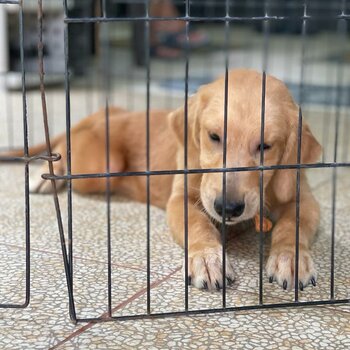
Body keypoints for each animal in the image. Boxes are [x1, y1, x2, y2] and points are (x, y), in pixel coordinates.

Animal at [2, 69, 322, 292]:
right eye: (214, 137)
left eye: (265, 146)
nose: (228, 208)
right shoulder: (181, 199)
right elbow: (199, 224)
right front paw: (208, 259)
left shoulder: (303, 197)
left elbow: (292, 225)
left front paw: (290, 257)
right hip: (99, 164)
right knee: (63, 149)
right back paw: (47, 179)